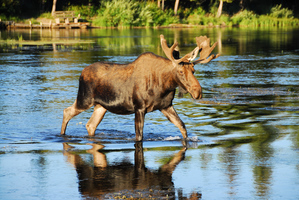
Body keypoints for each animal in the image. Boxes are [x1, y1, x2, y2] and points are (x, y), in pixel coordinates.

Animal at [61, 34, 220, 141]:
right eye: (181, 71)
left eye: (193, 70)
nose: (198, 92)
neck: (164, 85)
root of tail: (82, 72)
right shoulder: (139, 108)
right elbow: (139, 136)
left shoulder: (166, 106)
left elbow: (182, 127)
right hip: (85, 99)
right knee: (67, 111)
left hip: (101, 106)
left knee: (90, 125)